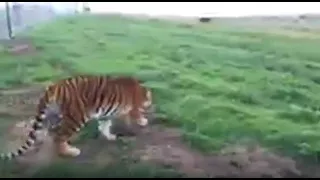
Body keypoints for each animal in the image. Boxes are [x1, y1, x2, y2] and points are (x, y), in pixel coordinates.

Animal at [0, 74, 152, 160]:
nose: (151, 105)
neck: (141, 89)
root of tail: (55, 85)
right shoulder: (133, 108)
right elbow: (136, 115)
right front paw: (143, 121)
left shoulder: (106, 114)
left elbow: (104, 125)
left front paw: (109, 136)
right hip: (76, 117)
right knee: (59, 136)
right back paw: (70, 152)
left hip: (55, 114)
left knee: (53, 133)